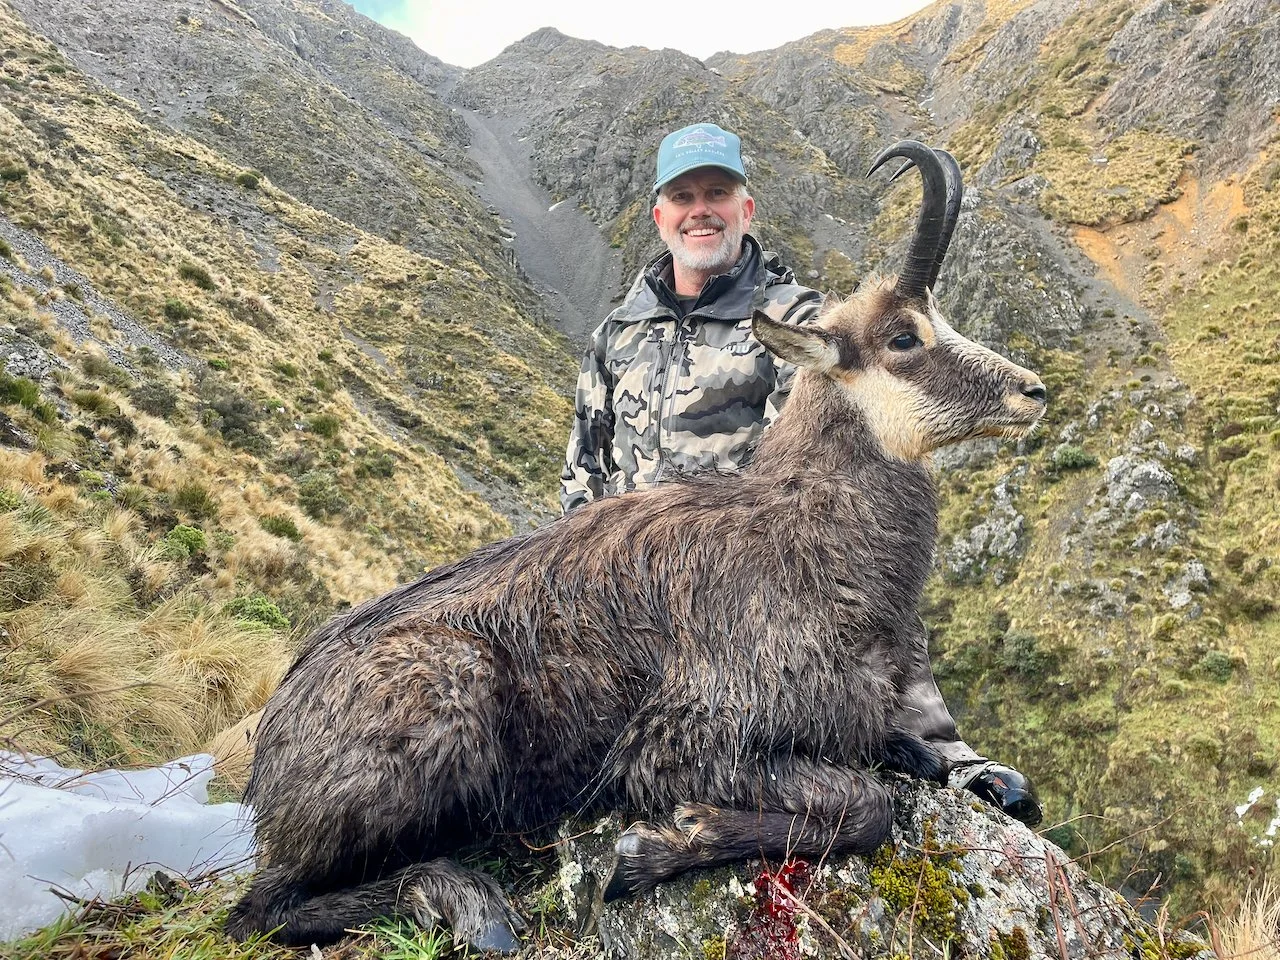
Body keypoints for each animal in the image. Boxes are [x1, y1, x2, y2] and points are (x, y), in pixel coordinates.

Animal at [225, 140, 1047, 953]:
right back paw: (466, 902)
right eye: (904, 337)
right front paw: (651, 848)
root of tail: (271, 754)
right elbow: (866, 806)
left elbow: (902, 755)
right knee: (264, 909)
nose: (1033, 392)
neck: (808, 537)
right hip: (445, 705)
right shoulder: (685, 739)